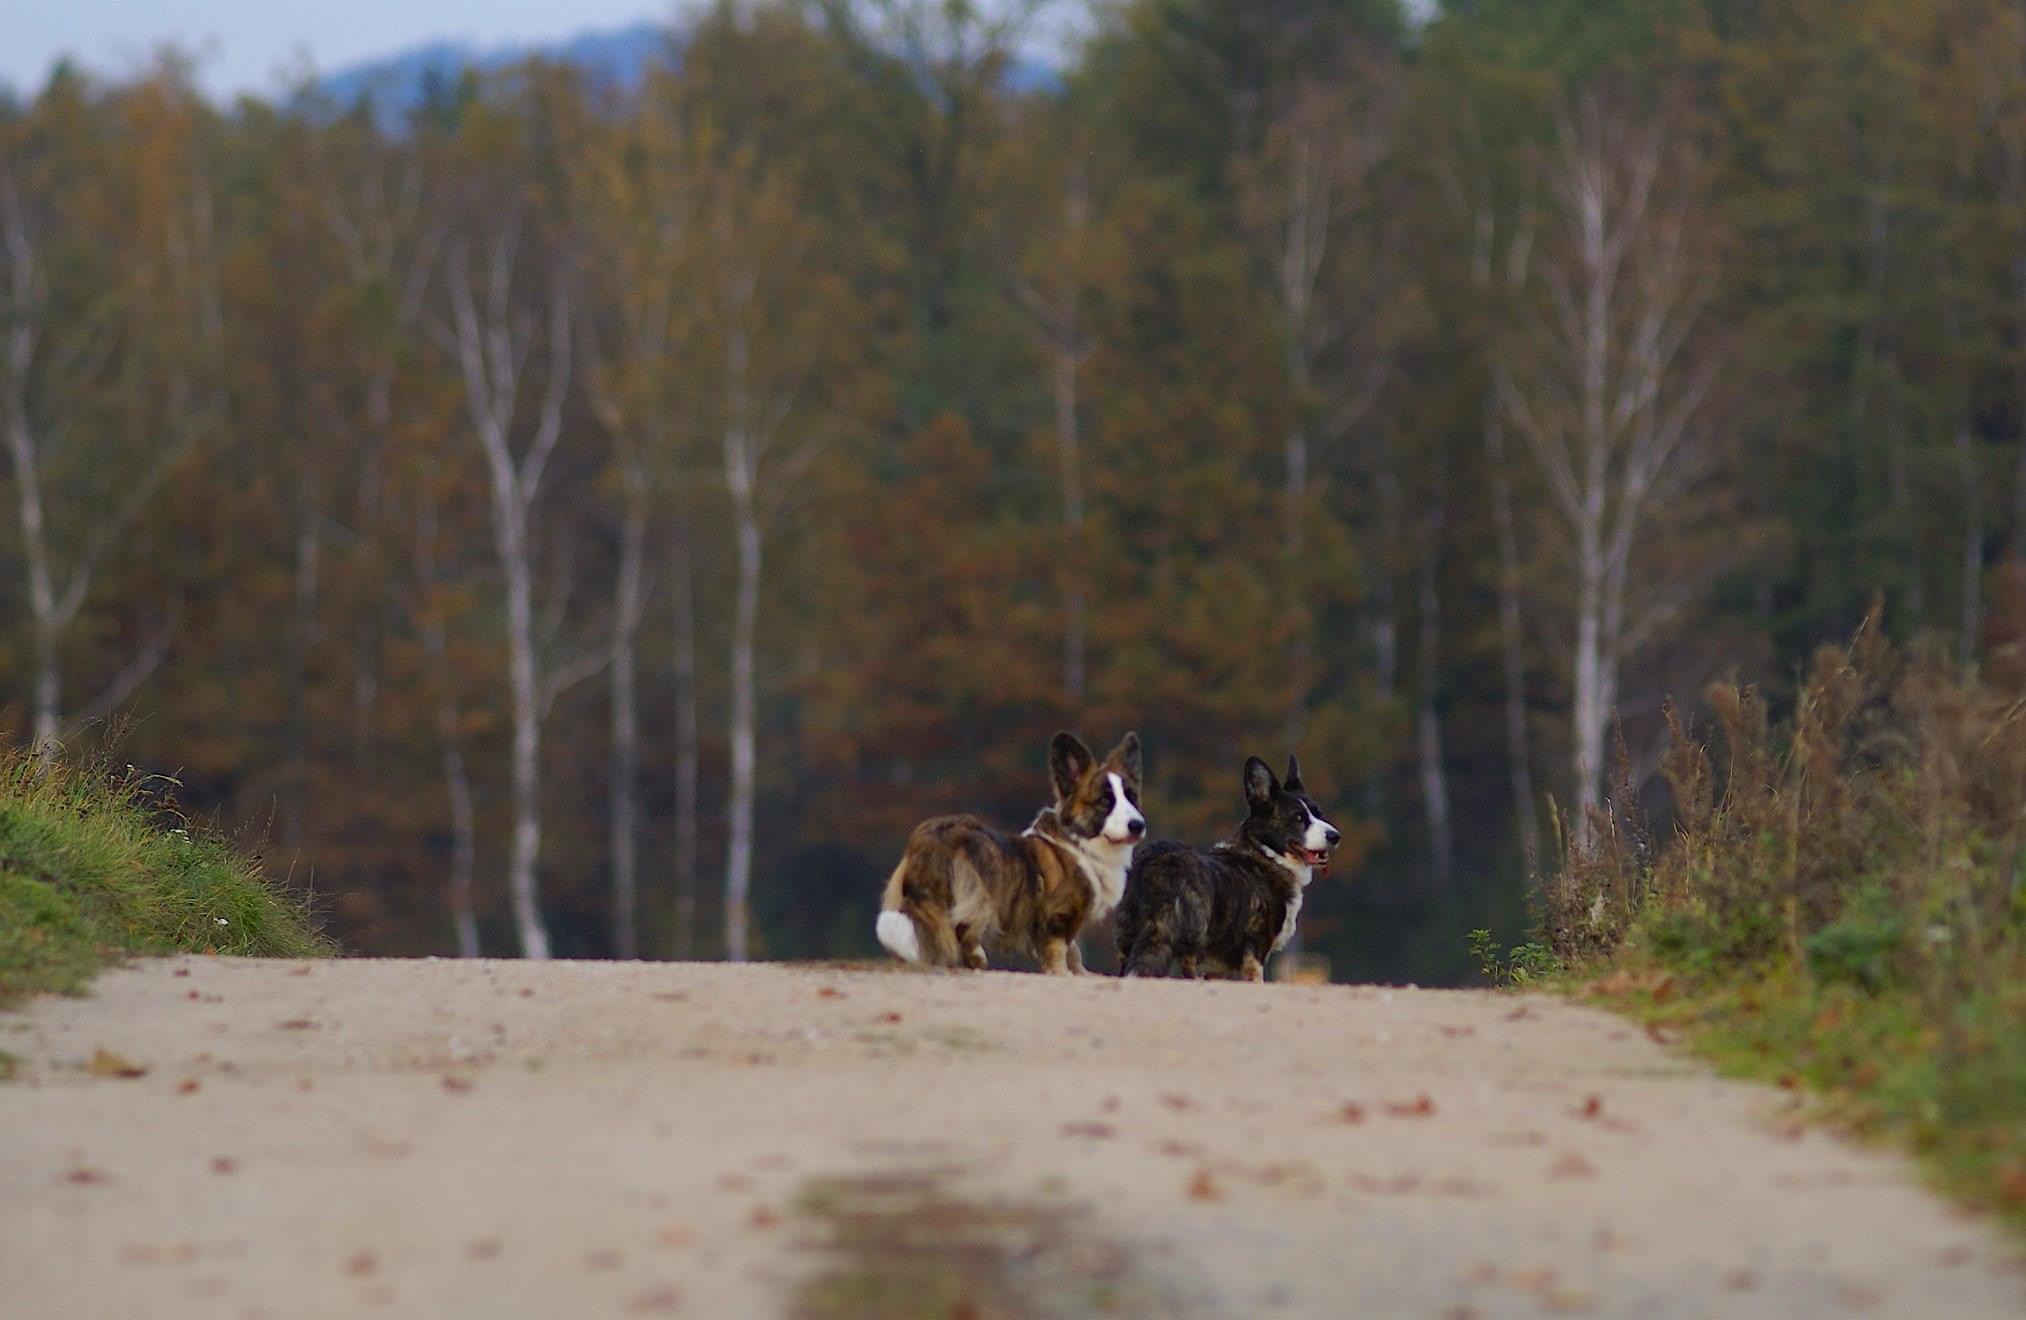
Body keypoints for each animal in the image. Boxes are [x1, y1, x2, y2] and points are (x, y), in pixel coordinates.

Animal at [879, 728, 1150, 975]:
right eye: (1104, 801)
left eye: (1132, 797)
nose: (1137, 825)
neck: (1079, 843)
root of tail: (935, 837)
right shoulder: (1058, 916)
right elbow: (1062, 949)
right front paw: (1063, 973)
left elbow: (1073, 951)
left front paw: (1079, 974)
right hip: (982, 876)